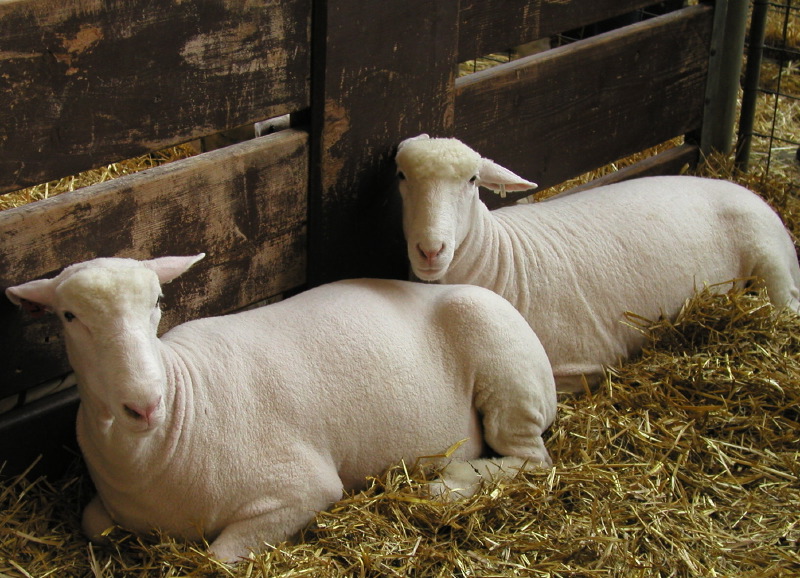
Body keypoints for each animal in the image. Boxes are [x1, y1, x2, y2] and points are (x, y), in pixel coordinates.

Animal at [5, 254, 556, 562]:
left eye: (158, 302)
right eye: (69, 316)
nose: (144, 404)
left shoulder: (302, 489)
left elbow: (219, 559)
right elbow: (92, 525)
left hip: (509, 373)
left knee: (532, 459)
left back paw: (449, 485)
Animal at [395, 134, 800, 392]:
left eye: (473, 179)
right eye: (401, 175)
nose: (430, 250)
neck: (502, 259)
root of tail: (744, 187)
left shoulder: (583, 367)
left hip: (771, 257)